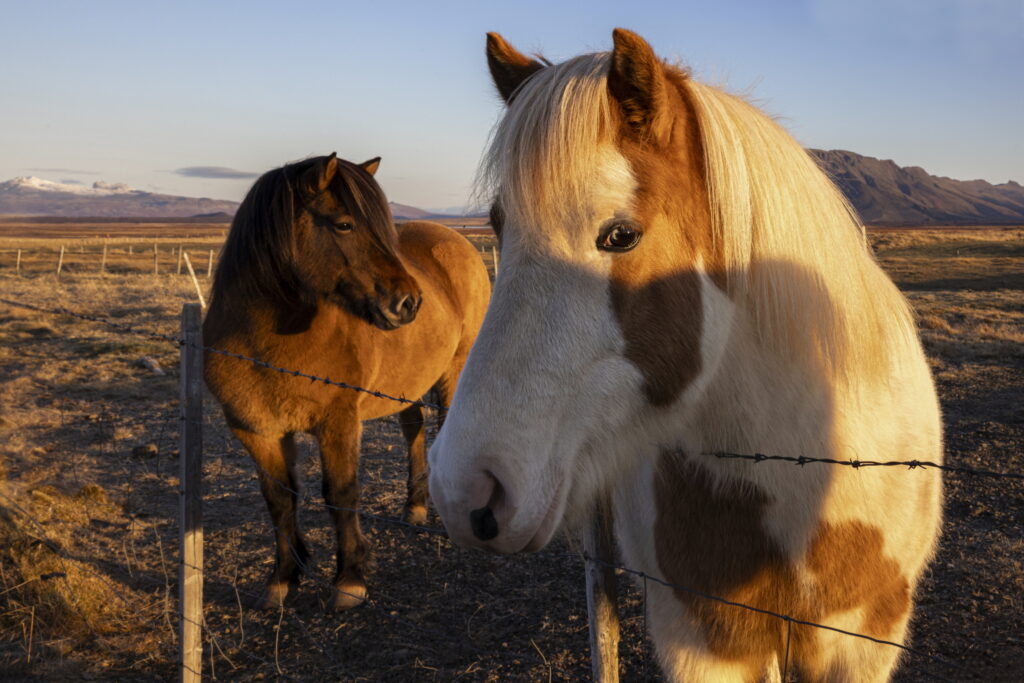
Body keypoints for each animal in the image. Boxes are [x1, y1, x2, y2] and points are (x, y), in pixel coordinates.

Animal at [204, 153, 490, 610]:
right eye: (343, 224)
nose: (409, 303)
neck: (261, 339)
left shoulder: (337, 423)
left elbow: (341, 494)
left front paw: (349, 580)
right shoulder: (254, 429)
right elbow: (279, 499)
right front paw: (283, 577)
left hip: (454, 368)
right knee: (413, 429)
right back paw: (415, 506)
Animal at [428, 30, 943, 681]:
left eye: (620, 235)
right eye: (499, 225)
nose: (464, 489)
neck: (801, 477)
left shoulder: (861, 641)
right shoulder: (704, 638)